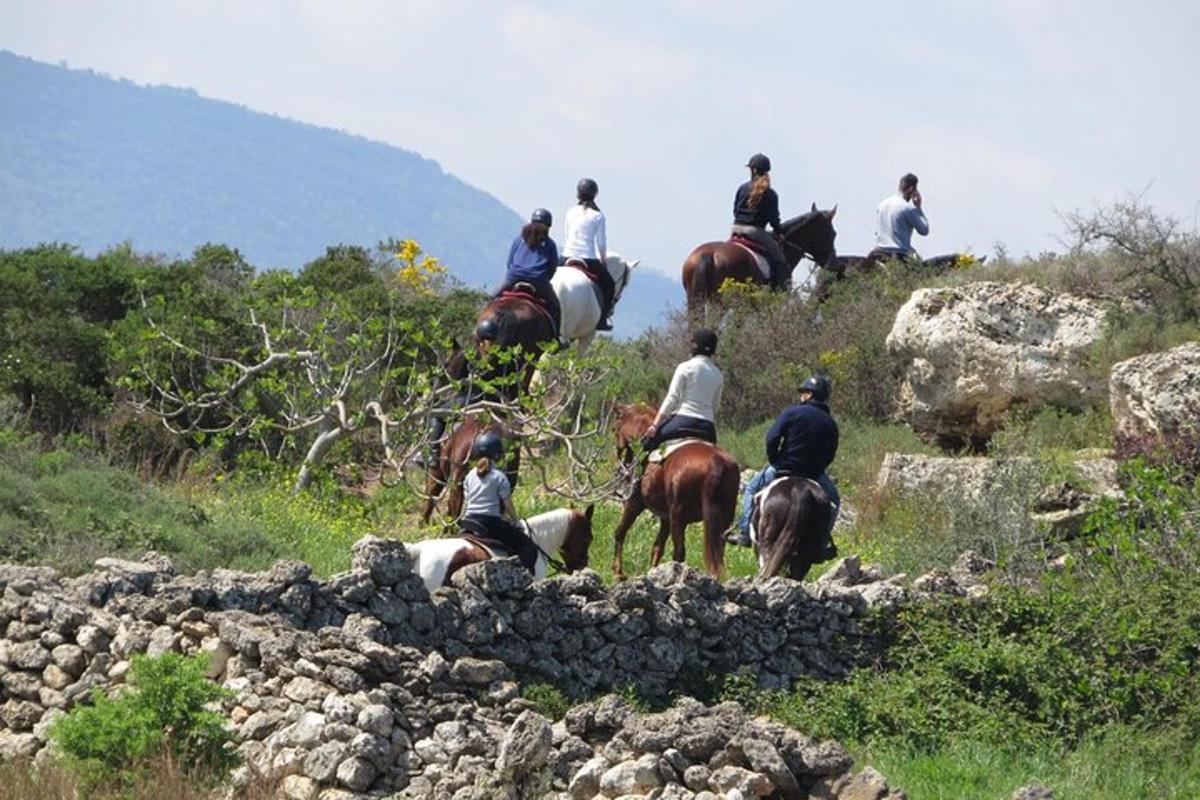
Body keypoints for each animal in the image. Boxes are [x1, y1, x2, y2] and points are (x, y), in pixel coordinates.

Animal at [609, 410, 739, 578]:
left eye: (614, 429)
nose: (620, 466)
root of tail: (716, 461)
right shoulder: (666, 518)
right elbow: (657, 547)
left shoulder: (634, 504)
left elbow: (620, 532)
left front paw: (618, 571)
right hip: (722, 519)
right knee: (717, 553)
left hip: (678, 516)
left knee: (679, 553)